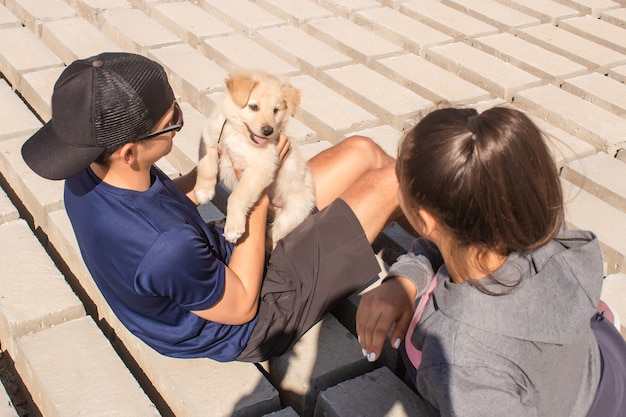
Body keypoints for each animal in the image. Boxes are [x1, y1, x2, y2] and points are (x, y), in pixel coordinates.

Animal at [194, 70, 314, 249]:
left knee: (275, 235)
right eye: (253, 107)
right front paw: (203, 191)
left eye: (276, 110)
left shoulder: (260, 168)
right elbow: (206, 166)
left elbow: (237, 196)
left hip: (295, 212)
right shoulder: (209, 139)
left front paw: (233, 227)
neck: (238, 133)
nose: (268, 131)